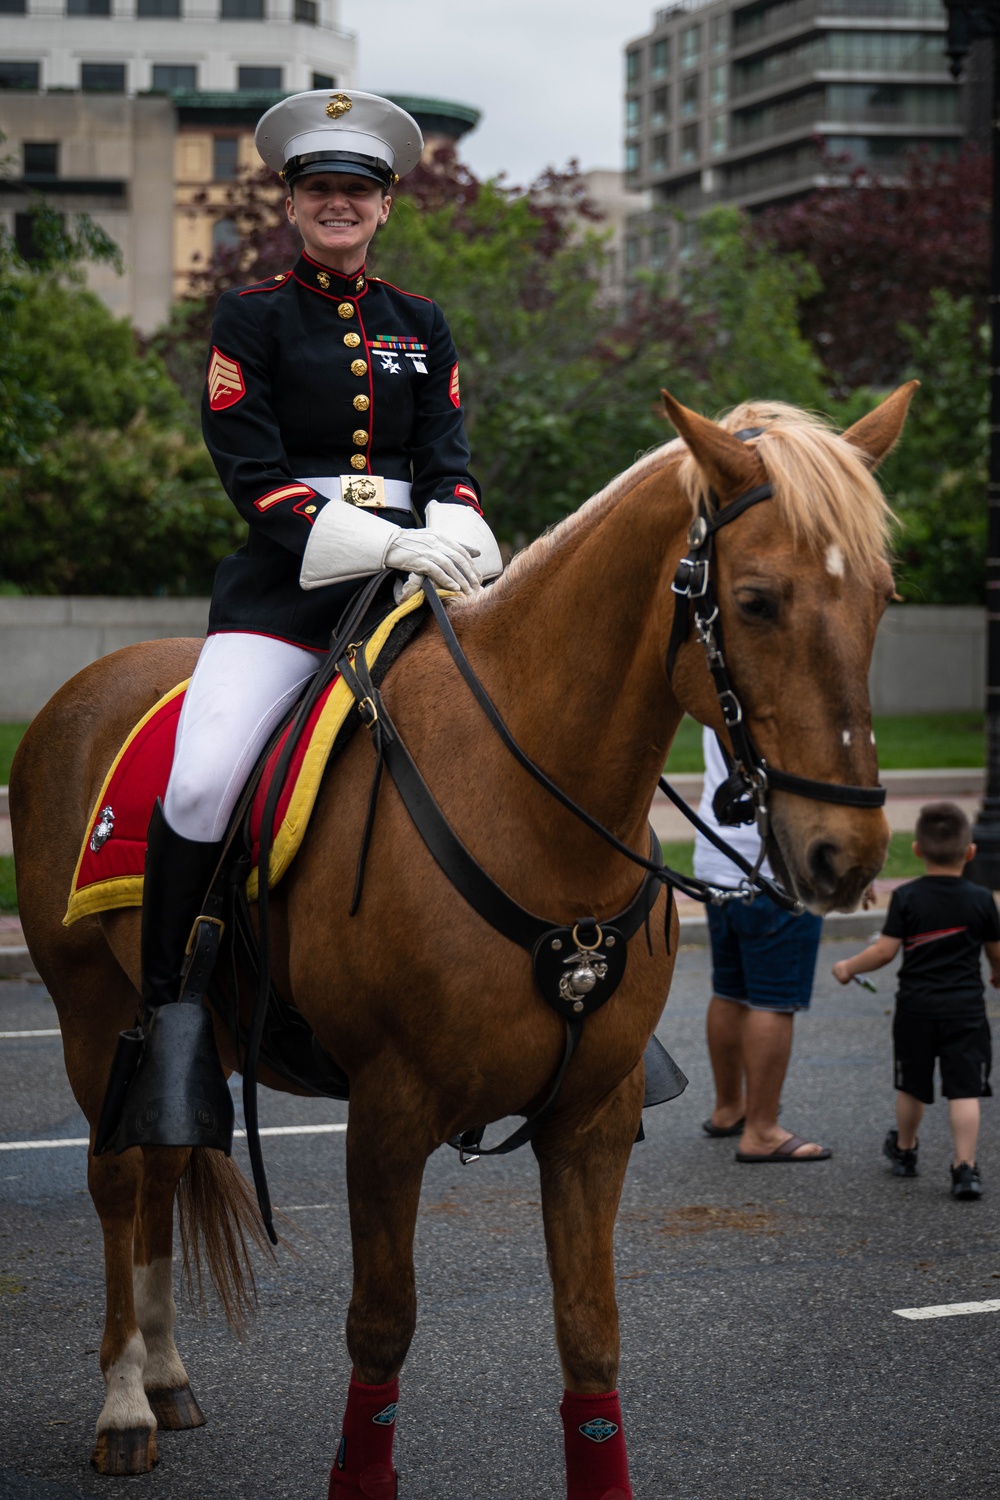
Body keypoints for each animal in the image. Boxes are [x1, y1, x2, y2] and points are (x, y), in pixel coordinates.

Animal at [9, 387, 917, 1488]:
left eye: (882, 598)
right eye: (753, 601)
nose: (846, 852)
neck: (529, 807)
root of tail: (84, 687)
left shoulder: (592, 1119)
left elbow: (590, 1335)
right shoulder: (389, 1117)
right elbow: (381, 1327)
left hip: (196, 1031)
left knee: (163, 1168)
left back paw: (167, 1373)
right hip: (94, 1017)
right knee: (114, 1179)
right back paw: (125, 1399)